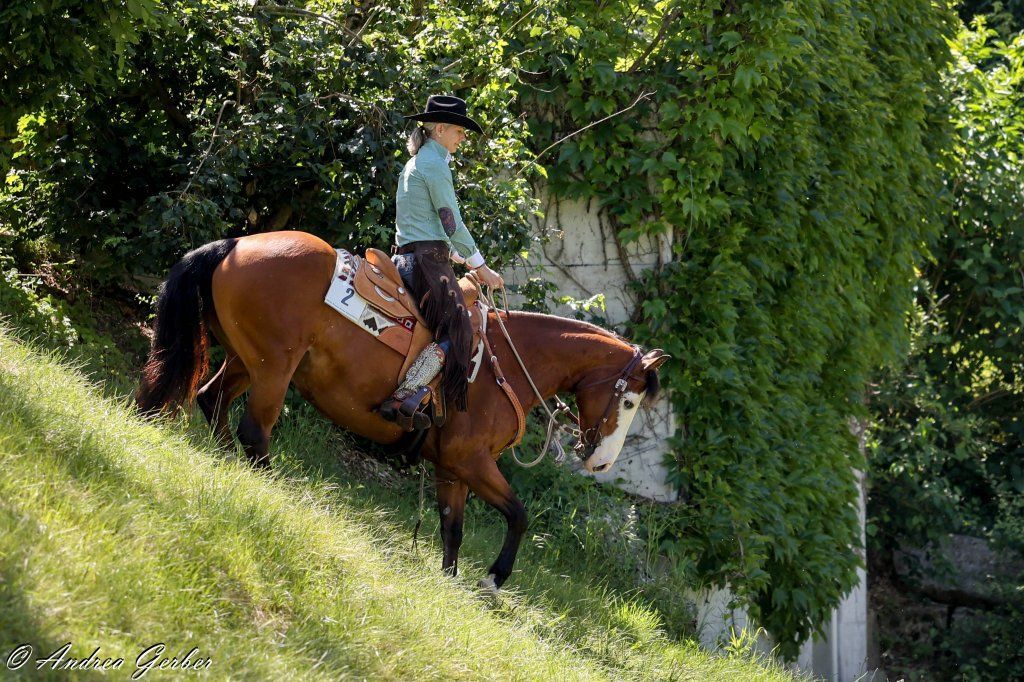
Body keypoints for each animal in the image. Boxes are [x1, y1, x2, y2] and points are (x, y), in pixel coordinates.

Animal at [136, 230, 669, 591]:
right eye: (627, 400)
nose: (601, 462)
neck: (507, 364)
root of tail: (236, 244)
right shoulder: (472, 460)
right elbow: (519, 514)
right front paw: (493, 579)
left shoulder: (452, 468)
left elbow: (453, 528)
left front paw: (450, 584)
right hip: (273, 368)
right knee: (254, 430)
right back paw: (272, 486)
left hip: (245, 361)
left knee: (212, 400)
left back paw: (225, 462)